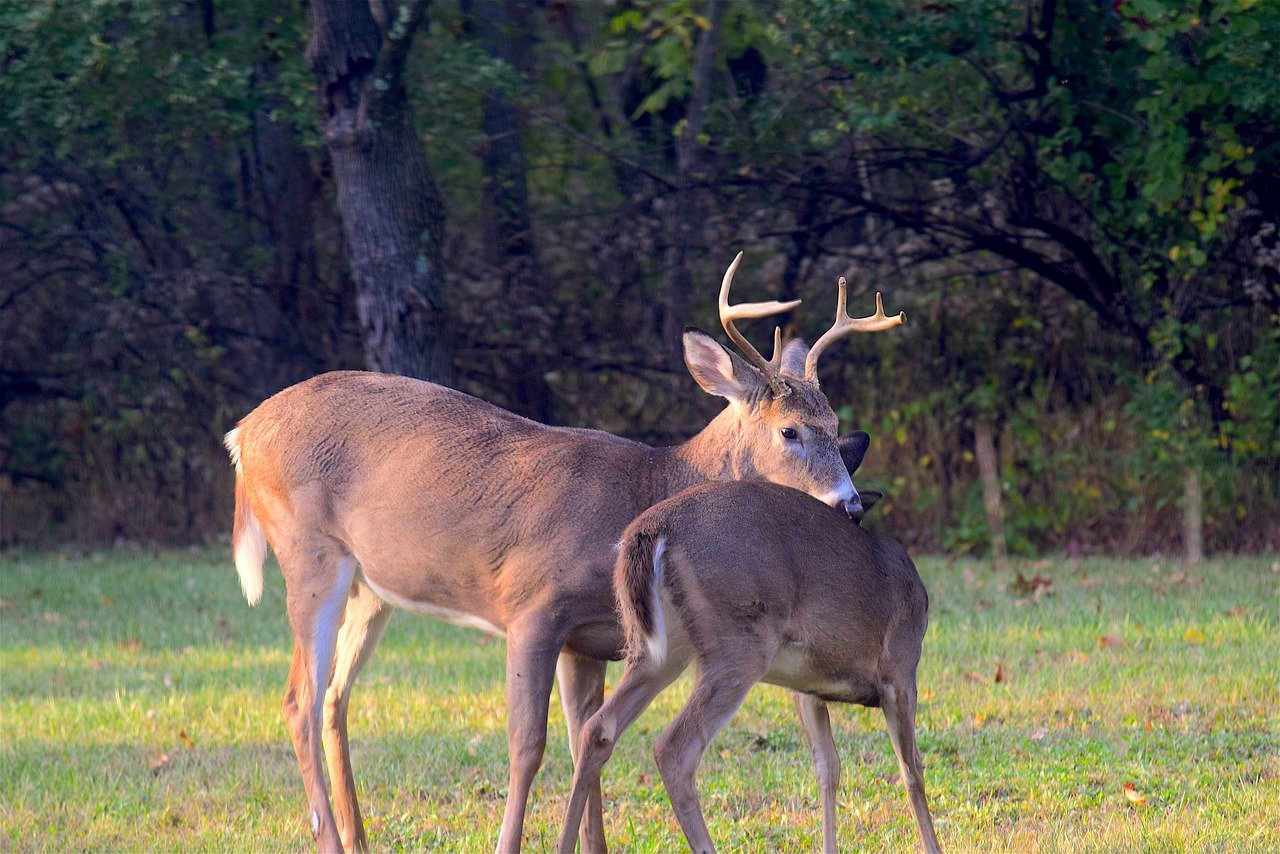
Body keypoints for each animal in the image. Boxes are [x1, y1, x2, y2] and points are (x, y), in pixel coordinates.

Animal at [554, 479, 941, 854]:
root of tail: (651, 530)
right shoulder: (900, 668)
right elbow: (912, 771)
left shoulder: (808, 687)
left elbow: (827, 768)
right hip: (738, 644)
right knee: (674, 747)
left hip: (659, 650)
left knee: (597, 727)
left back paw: (563, 844)